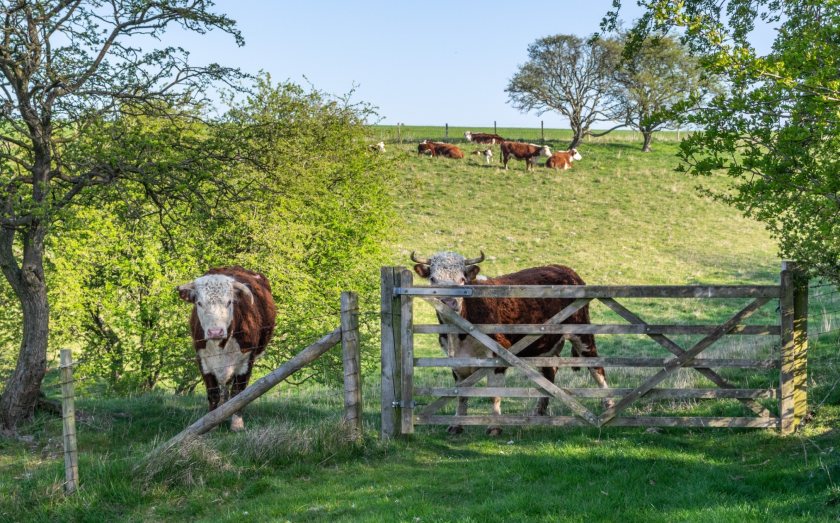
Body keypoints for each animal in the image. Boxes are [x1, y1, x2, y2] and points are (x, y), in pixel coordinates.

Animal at [176, 268, 276, 432]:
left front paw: (237, 424)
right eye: (199, 303)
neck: (220, 346)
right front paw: (211, 423)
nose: (215, 332)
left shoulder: (246, 360)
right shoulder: (203, 361)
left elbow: (238, 393)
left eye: (229, 302)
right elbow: (213, 393)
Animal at [410, 252, 608, 436]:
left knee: (596, 367)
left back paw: (608, 407)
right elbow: (461, 394)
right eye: (433, 279)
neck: (460, 335)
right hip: (545, 344)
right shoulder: (456, 361)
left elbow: (494, 394)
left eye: (462, 280)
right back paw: (539, 412)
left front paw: (494, 427)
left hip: (582, 332)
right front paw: (456, 425)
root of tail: (564, 268)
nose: (449, 302)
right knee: (549, 372)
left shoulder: (498, 355)